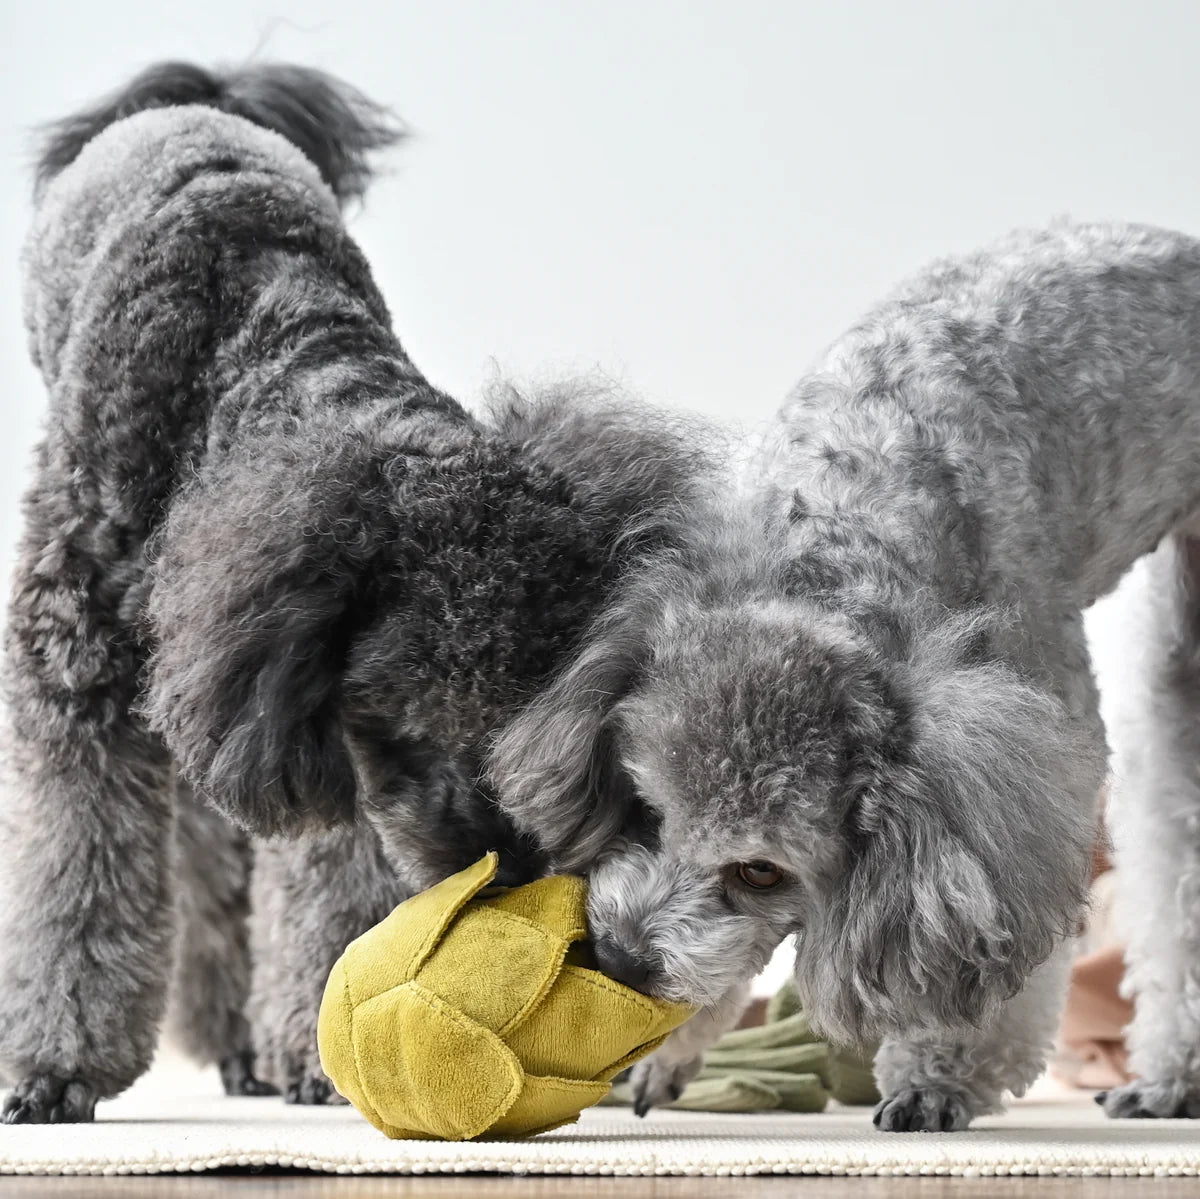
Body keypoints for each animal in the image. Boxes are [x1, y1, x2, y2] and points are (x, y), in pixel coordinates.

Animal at [2, 60, 710, 1118]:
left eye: (534, 728)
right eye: (409, 723)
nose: (500, 866)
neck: (256, 354)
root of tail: (203, 95)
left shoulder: (303, 734)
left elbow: (327, 880)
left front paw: (317, 1049)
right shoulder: (86, 669)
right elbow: (75, 871)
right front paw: (57, 1065)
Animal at [492, 220, 1200, 1128]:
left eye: (761, 870)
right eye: (644, 808)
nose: (618, 957)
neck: (850, 522)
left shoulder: (1020, 791)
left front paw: (938, 1075)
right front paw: (667, 1051)